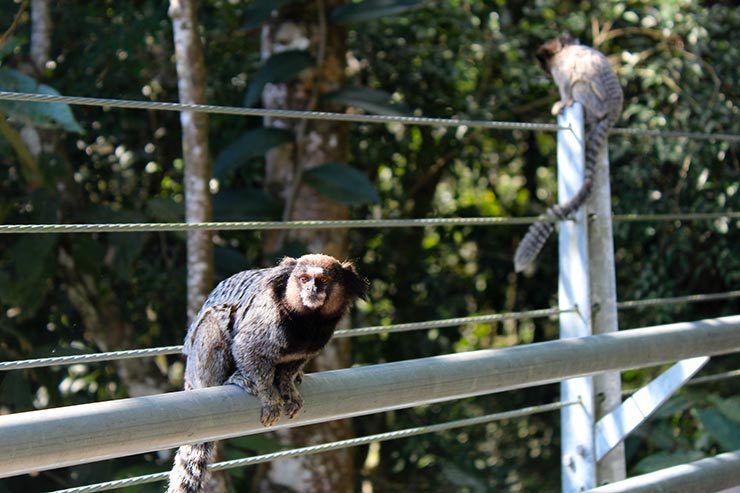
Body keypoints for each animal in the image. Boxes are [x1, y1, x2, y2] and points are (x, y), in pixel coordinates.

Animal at [166, 254, 366, 492]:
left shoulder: (310, 345)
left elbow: (293, 365)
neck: (309, 322)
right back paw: (232, 379)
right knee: (218, 316)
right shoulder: (267, 322)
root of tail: (189, 375)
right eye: (304, 278)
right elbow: (246, 349)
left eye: (323, 281)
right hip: (200, 363)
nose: (312, 289)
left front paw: (288, 385)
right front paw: (268, 394)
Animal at [516, 33, 624, 272]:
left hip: (595, 103)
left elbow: (567, 84)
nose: (546, 73)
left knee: (580, 86)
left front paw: (562, 102)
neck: (564, 49)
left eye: (545, 65)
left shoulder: (562, 67)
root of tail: (613, 110)